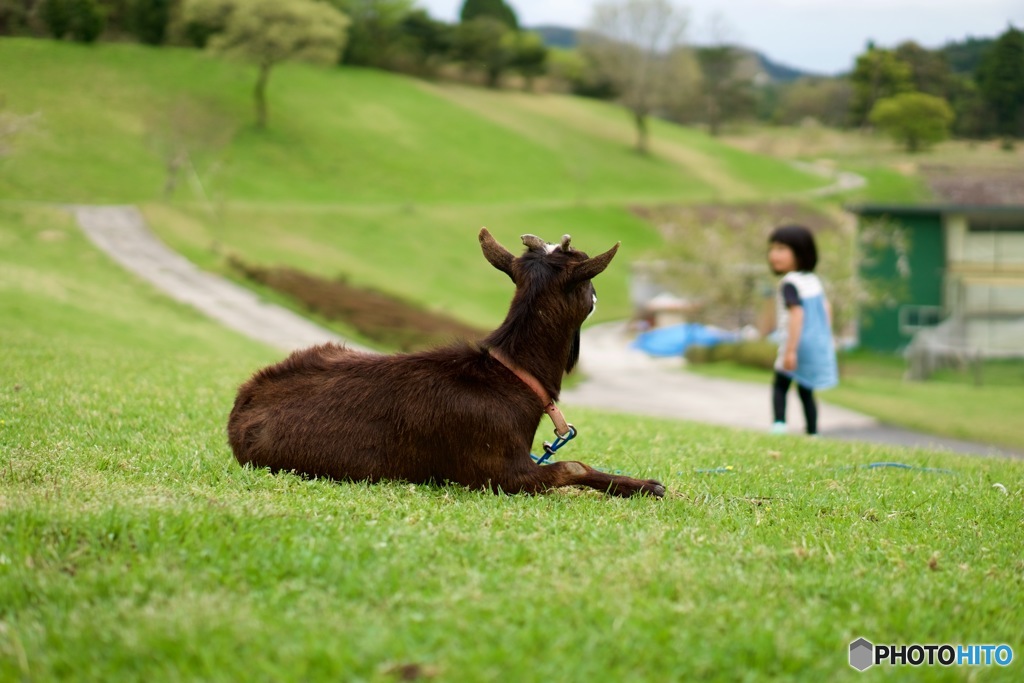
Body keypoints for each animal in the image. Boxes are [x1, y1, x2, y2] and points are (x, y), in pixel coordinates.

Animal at [228, 227, 667, 499]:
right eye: (587, 278)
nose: (597, 297)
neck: (511, 380)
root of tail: (241, 404)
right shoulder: (497, 473)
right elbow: (573, 465)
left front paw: (648, 486)